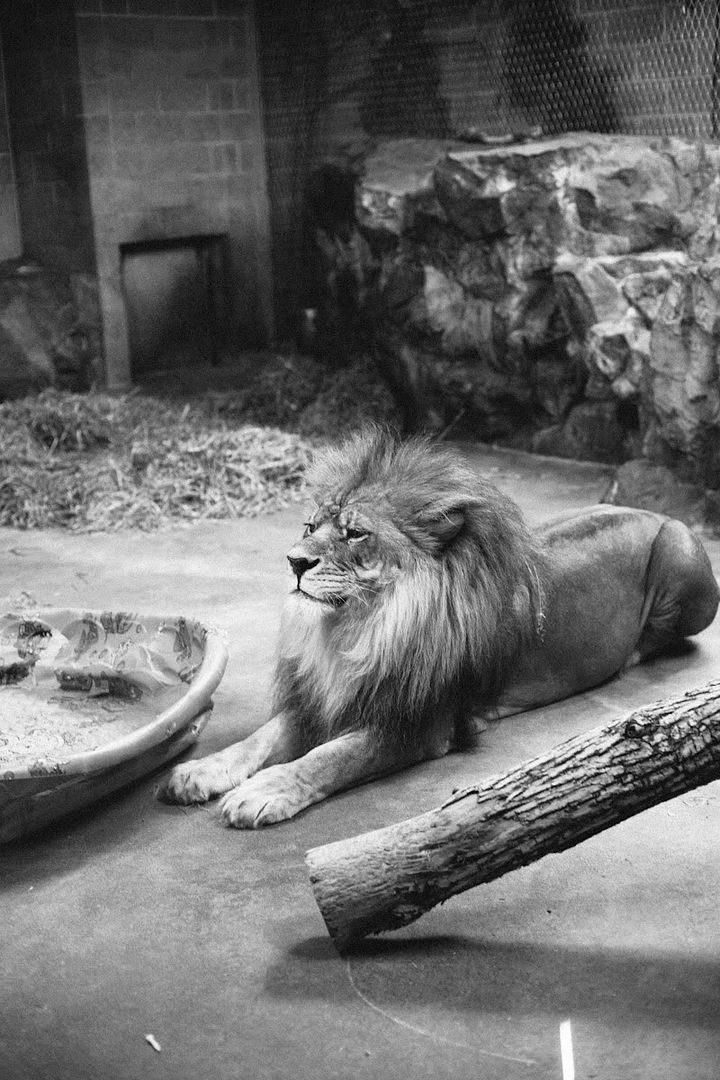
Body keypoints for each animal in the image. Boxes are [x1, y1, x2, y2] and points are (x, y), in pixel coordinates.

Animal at [158, 427, 719, 828]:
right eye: (310, 528)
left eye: (355, 533)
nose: (294, 561)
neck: (358, 628)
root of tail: (654, 511)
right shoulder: (329, 694)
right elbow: (264, 736)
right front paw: (200, 771)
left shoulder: (419, 723)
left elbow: (330, 757)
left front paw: (263, 792)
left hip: (682, 558)